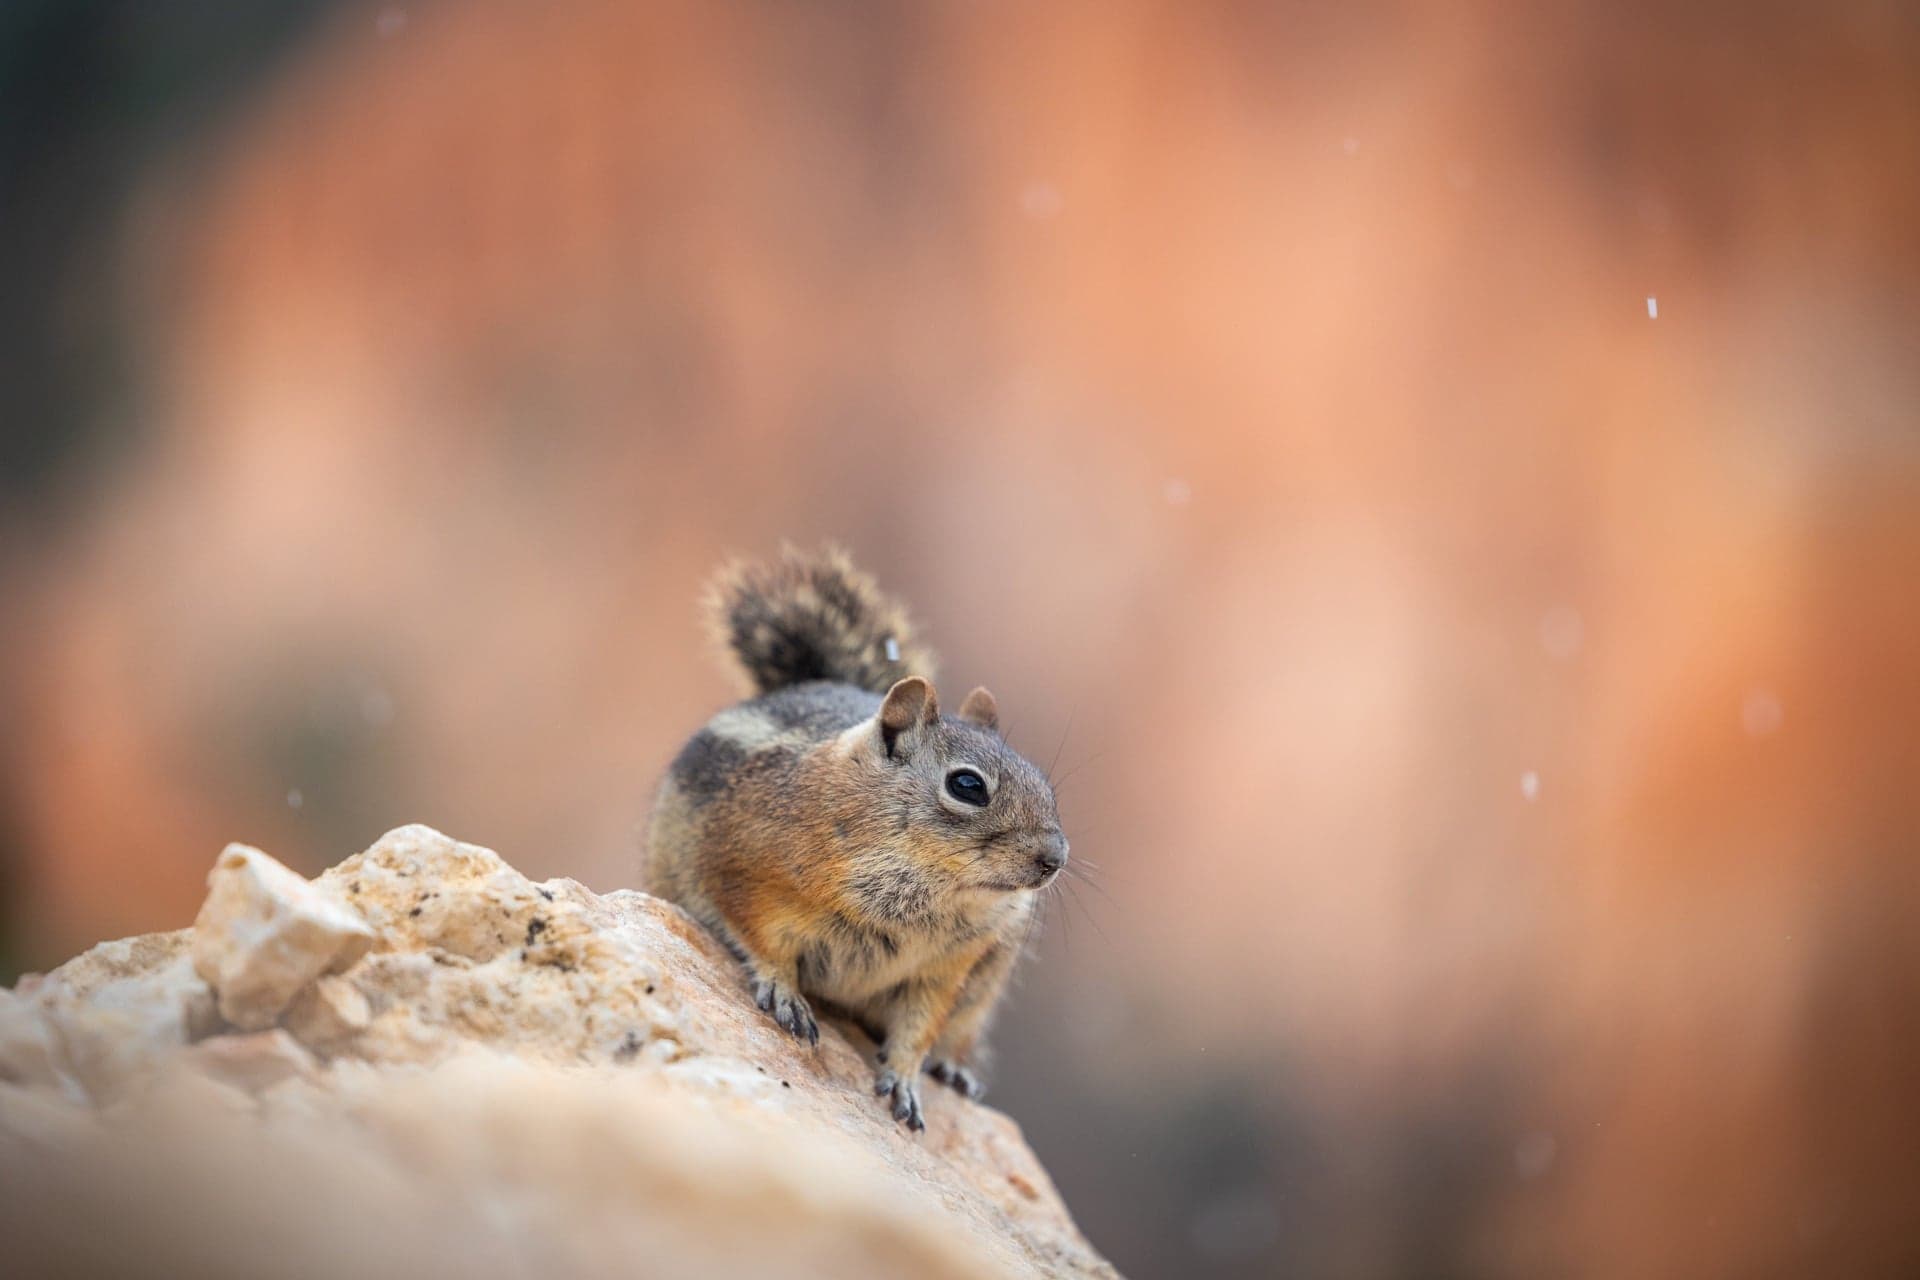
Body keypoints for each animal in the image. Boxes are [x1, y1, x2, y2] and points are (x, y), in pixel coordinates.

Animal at [643, 545, 1068, 1131]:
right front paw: (784, 991)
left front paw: (907, 1079)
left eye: (1045, 784)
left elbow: (920, 1025)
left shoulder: (944, 969)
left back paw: (953, 1069)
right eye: (967, 785)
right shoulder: (742, 871)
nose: (1056, 858)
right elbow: (760, 937)